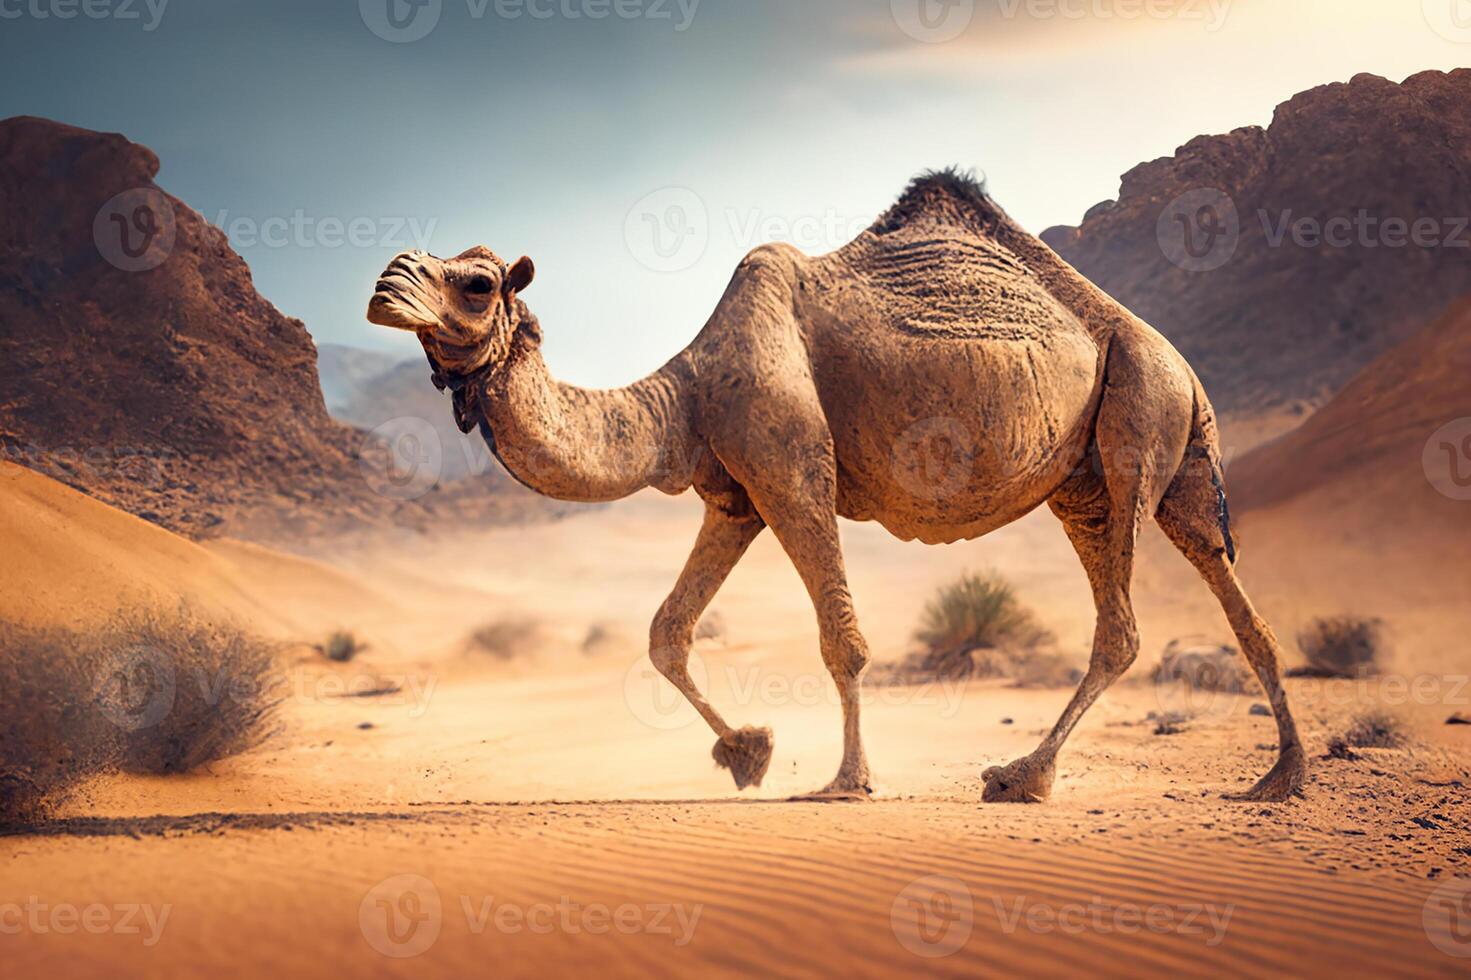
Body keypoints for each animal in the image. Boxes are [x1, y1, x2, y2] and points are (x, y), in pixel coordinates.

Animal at [367, 171, 1312, 800]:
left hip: (1137, 415)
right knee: (1232, 597)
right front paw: (748, 753)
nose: (383, 282)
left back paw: (1022, 776)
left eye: (477, 283)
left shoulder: (790, 469)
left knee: (1121, 627)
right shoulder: (734, 494)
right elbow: (666, 632)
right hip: (1133, 469)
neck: (685, 394)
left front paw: (844, 781)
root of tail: (1184, 366)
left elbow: (840, 641)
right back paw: (1280, 775)